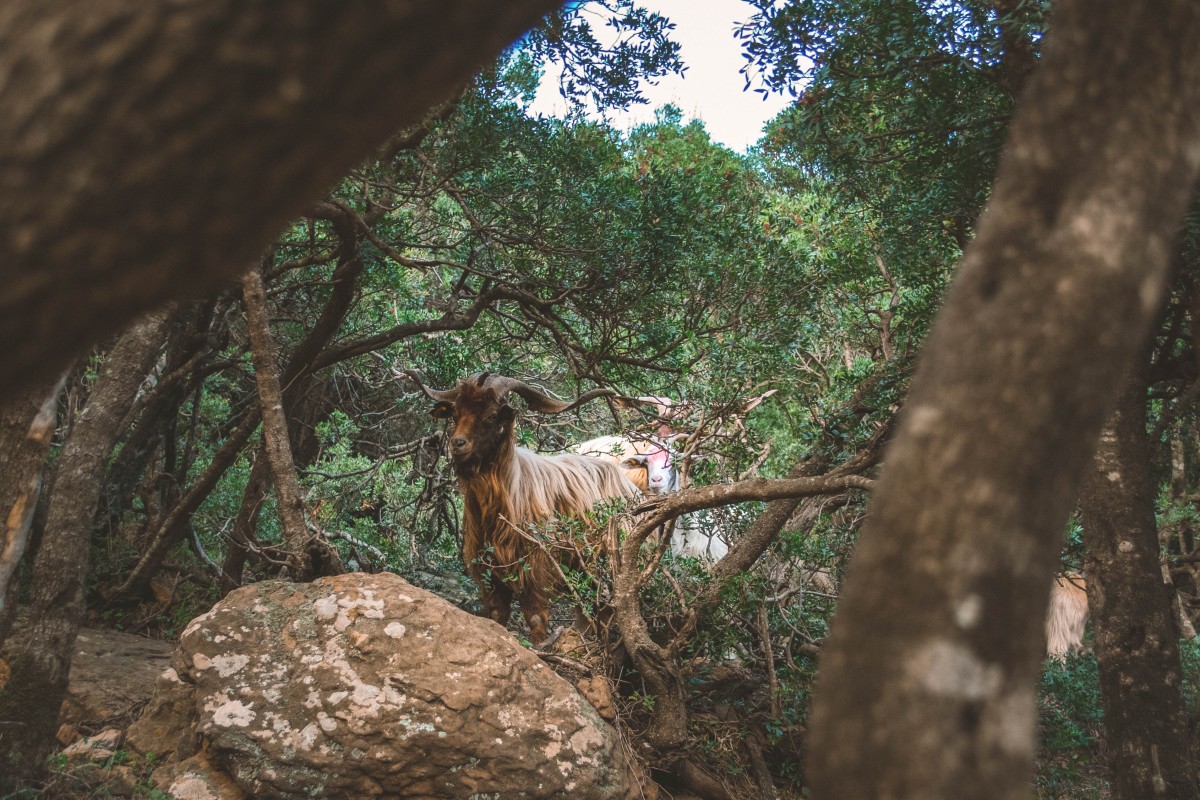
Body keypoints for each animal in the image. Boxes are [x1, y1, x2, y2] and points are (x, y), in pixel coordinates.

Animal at [405, 371, 638, 642]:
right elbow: (496, 616)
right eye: (455, 413)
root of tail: (626, 483)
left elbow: (536, 619)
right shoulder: (489, 576)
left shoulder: (536, 570)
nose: (457, 443)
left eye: (492, 415)